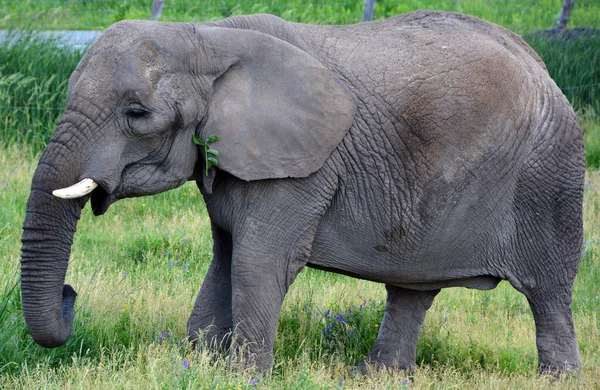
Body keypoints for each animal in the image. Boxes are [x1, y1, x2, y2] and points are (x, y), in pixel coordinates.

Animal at [21, 9, 584, 374]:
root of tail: (541, 64)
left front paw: (241, 378)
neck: (208, 37)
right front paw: (197, 366)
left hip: (549, 176)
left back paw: (556, 379)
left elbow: (258, 260)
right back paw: (377, 377)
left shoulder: (304, 169)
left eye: (136, 113)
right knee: (413, 288)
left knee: (549, 291)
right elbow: (225, 257)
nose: (71, 294)